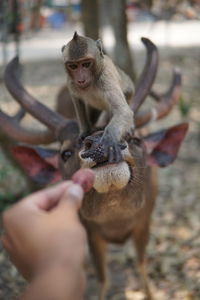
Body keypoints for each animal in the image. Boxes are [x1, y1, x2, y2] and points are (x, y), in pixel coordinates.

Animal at [61, 31, 134, 163]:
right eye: (73, 66)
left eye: (86, 64)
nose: (81, 79)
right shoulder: (70, 82)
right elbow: (77, 100)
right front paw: (85, 130)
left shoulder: (106, 77)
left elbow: (123, 112)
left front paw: (109, 139)